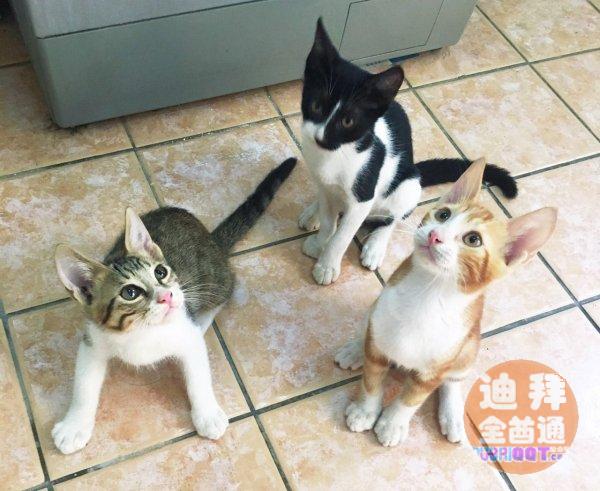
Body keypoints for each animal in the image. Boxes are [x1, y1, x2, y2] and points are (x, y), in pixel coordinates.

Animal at [52, 157, 297, 454]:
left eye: (160, 272)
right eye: (130, 292)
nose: (167, 296)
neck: (142, 332)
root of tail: (209, 238)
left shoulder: (186, 335)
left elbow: (198, 374)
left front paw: (207, 414)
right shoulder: (94, 338)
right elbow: (84, 385)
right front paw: (74, 425)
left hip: (212, 279)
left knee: (226, 288)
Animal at [298, 19, 518, 285]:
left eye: (348, 121)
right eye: (316, 106)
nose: (320, 138)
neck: (334, 156)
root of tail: (415, 167)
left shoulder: (363, 196)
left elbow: (342, 235)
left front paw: (327, 265)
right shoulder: (323, 181)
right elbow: (330, 222)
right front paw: (320, 241)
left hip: (408, 186)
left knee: (393, 217)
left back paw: (375, 246)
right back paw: (312, 212)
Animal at [334, 158, 557, 446]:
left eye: (473, 239)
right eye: (443, 215)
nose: (434, 235)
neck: (427, 295)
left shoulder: (436, 368)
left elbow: (412, 398)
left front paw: (392, 424)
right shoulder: (380, 331)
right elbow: (372, 379)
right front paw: (365, 411)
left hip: (469, 343)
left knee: (454, 378)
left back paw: (452, 416)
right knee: (368, 326)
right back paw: (354, 350)